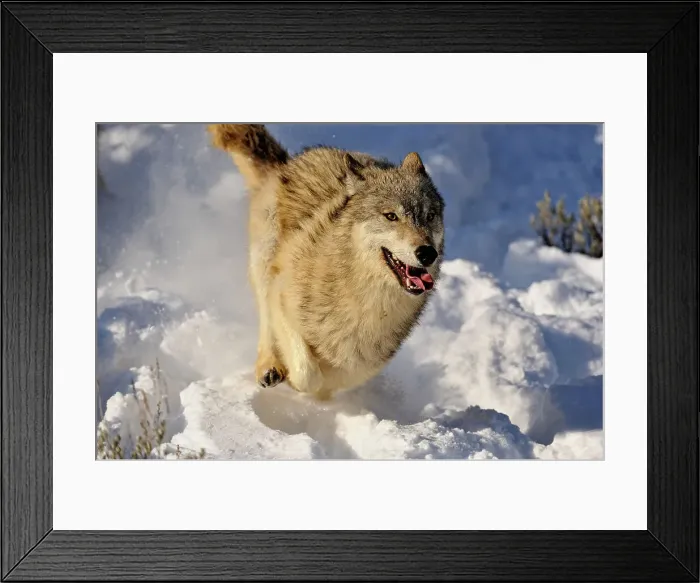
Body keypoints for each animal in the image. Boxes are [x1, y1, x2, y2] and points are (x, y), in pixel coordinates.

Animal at [208, 124, 445, 400]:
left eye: (429, 216)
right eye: (391, 216)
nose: (427, 253)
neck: (364, 300)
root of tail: (288, 163)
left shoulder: (361, 364)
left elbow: (331, 380)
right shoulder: (281, 295)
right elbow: (307, 374)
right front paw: (291, 379)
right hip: (265, 262)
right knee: (266, 324)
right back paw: (270, 368)